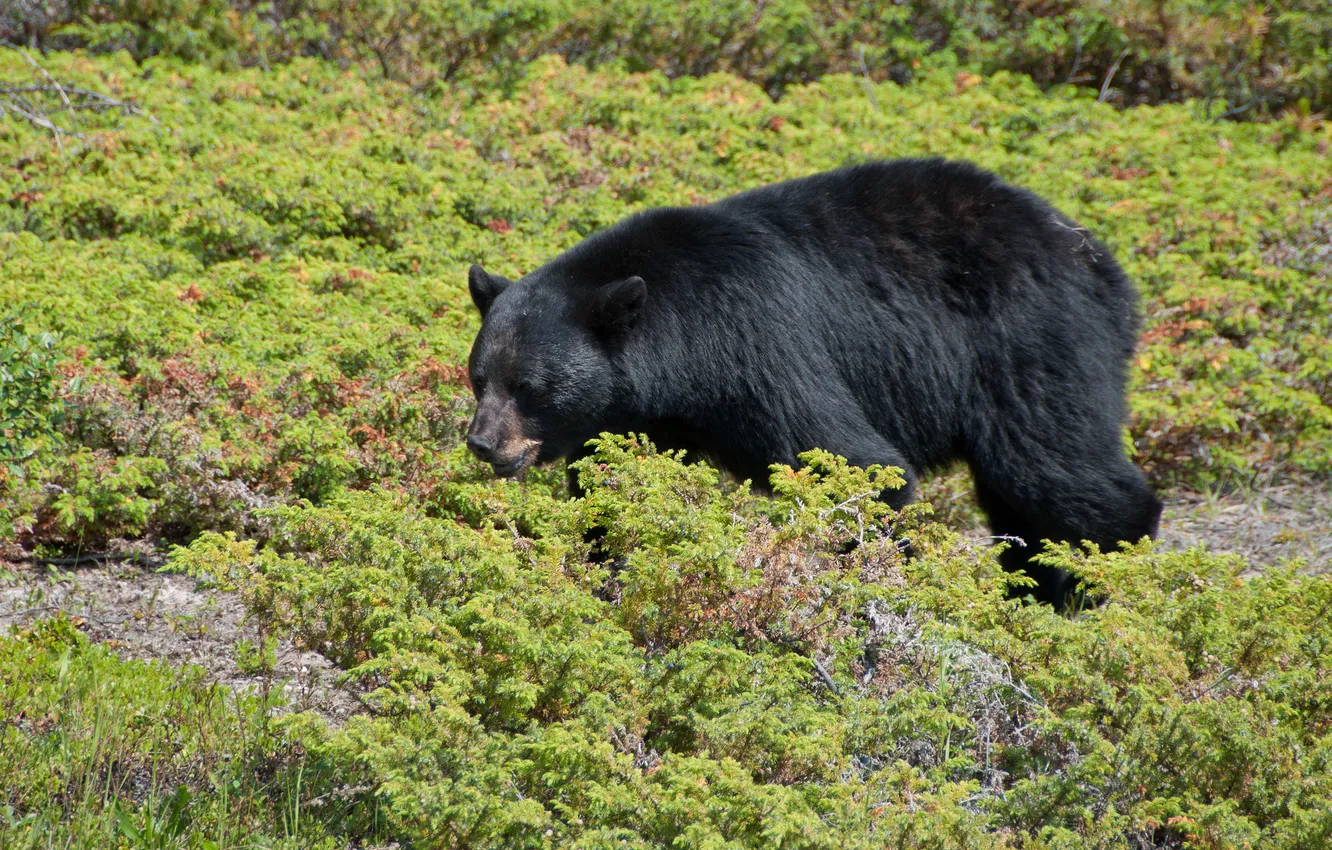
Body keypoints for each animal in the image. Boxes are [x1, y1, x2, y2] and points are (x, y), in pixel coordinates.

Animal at [463, 158, 1161, 607]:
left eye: (530, 386)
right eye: (479, 379)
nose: (483, 443)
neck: (679, 353)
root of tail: (1099, 261)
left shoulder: (758, 343)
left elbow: (849, 461)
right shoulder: (641, 418)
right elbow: (619, 489)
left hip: (1029, 340)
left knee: (1052, 464)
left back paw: (1093, 583)